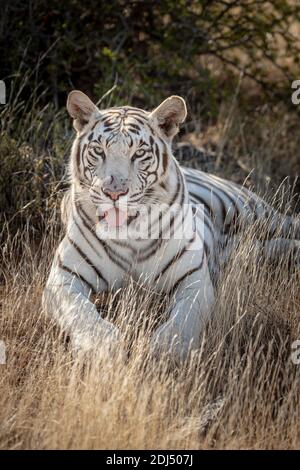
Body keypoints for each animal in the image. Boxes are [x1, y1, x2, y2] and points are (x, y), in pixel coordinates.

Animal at [42, 91, 300, 364]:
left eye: (138, 153)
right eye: (99, 151)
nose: (114, 193)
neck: (130, 232)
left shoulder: (194, 281)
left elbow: (184, 320)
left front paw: (164, 352)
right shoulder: (64, 279)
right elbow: (81, 312)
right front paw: (101, 348)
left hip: (254, 212)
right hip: (250, 248)